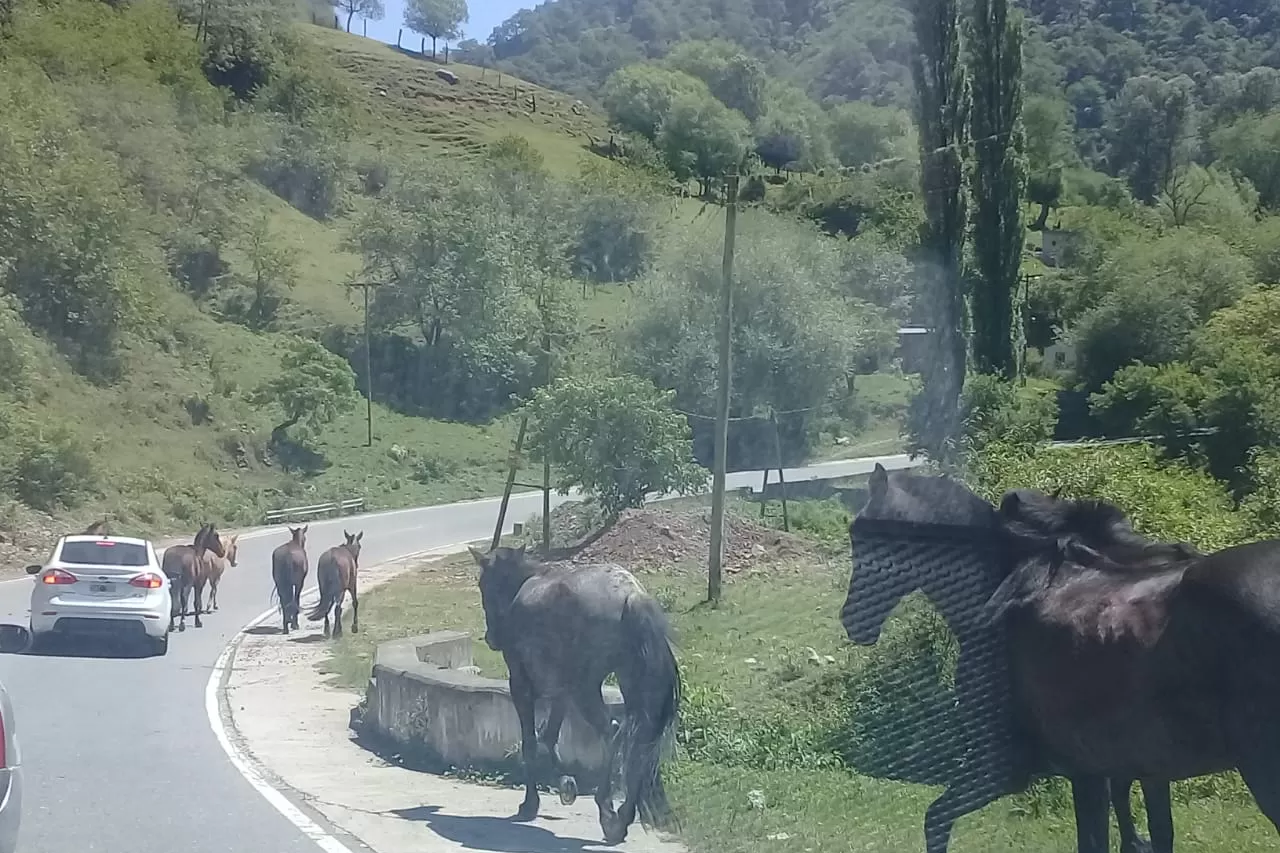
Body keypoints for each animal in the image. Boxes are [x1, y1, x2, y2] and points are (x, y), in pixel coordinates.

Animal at [463, 545, 680, 845]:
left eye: (483, 584)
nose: (492, 638)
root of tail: (630, 595)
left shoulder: (521, 684)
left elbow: (531, 742)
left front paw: (531, 803)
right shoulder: (562, 693)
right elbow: (549, 736)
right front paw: (566, 784)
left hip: (585, 688)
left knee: (612, 731)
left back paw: (608, 812)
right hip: (629, 683)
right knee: (639, 741)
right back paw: (623, 816)